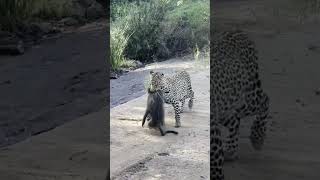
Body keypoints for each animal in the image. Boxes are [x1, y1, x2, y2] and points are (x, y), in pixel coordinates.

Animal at [210, 29, 270, 179]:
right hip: (224, 106)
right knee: (235, 120)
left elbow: (215, 166)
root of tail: (238, 31)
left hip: (249, 96)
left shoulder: (213, 136)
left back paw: (257, 138)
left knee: (265, 100)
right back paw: (231, 150)